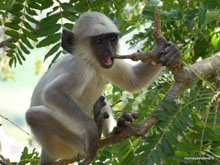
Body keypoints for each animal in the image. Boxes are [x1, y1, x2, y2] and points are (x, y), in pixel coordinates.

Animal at [25, 10, 180, 164]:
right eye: (98, 41)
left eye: (112, 39)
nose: (109, 50)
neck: (92, 64)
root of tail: (46, 151)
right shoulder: (80, 68)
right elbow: (53, 93)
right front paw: (92, 132)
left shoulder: (111, 61)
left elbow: (134, 81)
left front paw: (170, 51)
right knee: (34, 116)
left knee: (101, 101)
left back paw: (116, 129)